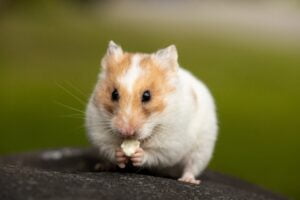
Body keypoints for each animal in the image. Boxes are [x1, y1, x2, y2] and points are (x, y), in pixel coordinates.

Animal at [85, 40, 217, 184]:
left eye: (147, 96)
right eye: (114, 94)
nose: (126, 132)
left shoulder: (170, 144)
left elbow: (154, 154)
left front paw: (138, 154)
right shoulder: (99, 132)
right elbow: (109, 148)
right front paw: (119, 154)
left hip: (201, 149)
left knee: (191, 166)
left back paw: (188, 180)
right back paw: (102, 166)